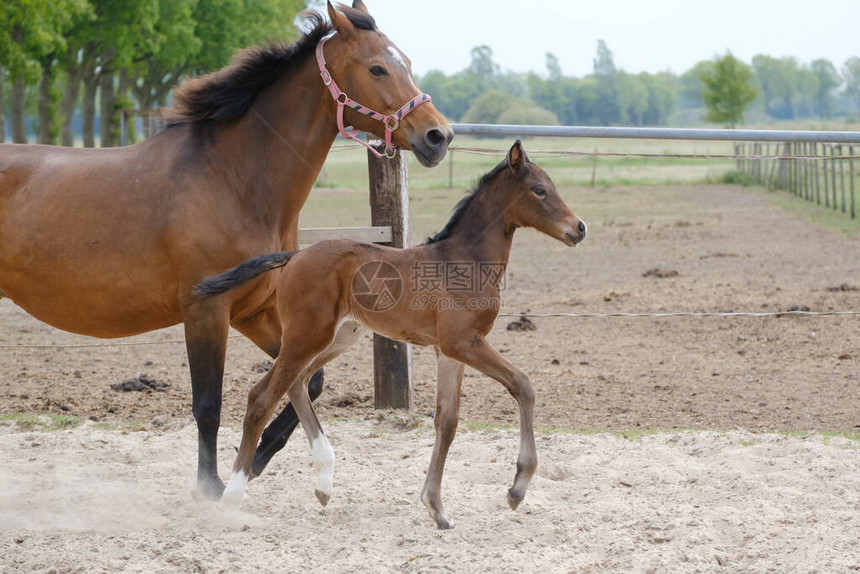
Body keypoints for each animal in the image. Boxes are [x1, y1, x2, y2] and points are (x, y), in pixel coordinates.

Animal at [197, 142, 584, 528]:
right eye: (539, 190)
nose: (579, 228)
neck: (464, 262)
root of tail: (295, 256)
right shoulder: (463, 342)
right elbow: (523, 385)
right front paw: (517, 488)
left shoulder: (449, 352)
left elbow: (447, 421)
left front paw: (436, 508)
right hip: (308, 336)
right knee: (262, 396)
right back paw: (232, 499)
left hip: (337, 337)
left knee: (297, 384)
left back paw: (324, 483)